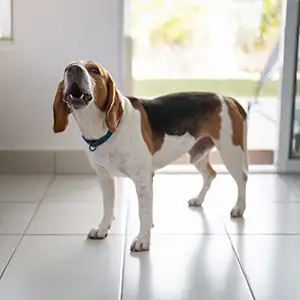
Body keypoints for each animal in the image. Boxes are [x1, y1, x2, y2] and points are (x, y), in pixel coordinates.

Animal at [52, 59, 248, 252]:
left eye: (94, 70)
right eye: (66, 69)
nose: (73, 69)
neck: (105, 130)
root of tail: (227, 98)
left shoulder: (143, 178)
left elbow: (144, 212)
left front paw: (142, 240)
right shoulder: (104, 177)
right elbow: (108, 206)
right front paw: (102, 229)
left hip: (231, 153)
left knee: (242, 179)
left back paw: (239, 208)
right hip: (197, 155)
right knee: (210, 175)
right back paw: (199, 199)